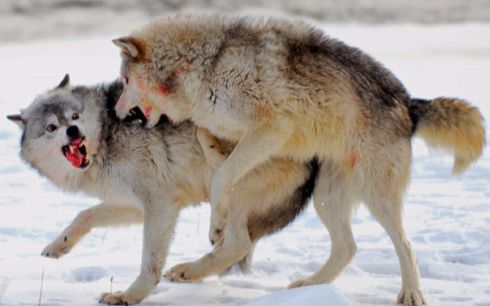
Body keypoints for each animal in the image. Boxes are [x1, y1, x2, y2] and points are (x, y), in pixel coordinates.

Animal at [8, 75, 322, 304]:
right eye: (51, 127)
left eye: (74, 116)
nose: (73, 132)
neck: (107, 138)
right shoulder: (134, 205)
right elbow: (84, 215)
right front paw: (57, 246)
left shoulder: (160, 203)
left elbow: (150, 263)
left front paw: (128, 296)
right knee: (235, 244)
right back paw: (187, 271)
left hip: (233, 187)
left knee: (238, 244)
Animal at [113, 14, 484, 306]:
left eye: (126, 81)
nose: (117, 113)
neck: (206, 65)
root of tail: (409, 104)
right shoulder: (241, 133)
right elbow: (213, 150)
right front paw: (214, 165)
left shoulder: (271, 127)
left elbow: (222, 178)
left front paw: (216, 222)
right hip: (325, 198)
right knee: (345, 248)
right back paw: (305, 285)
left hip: (377, 197)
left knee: (404, 244)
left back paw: (410, 294)